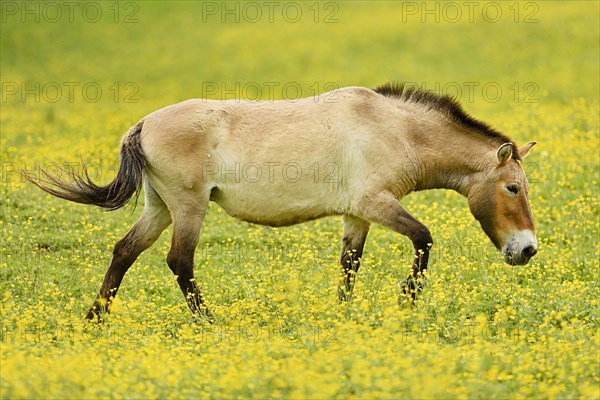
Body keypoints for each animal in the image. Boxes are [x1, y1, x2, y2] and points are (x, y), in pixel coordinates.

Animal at [25, 83, 540, 322]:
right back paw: (209, 323)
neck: (396, 128)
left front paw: (342, 315)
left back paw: (95, 319)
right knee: (179, 261)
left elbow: (349, 266)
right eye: (513, 188)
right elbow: (424, 239)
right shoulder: (376, 203)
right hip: (188, 208)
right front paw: (406, 300)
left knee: (125, 252)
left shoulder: (357, 215)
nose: (528, 249)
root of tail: (143, 124)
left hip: (160, 208)